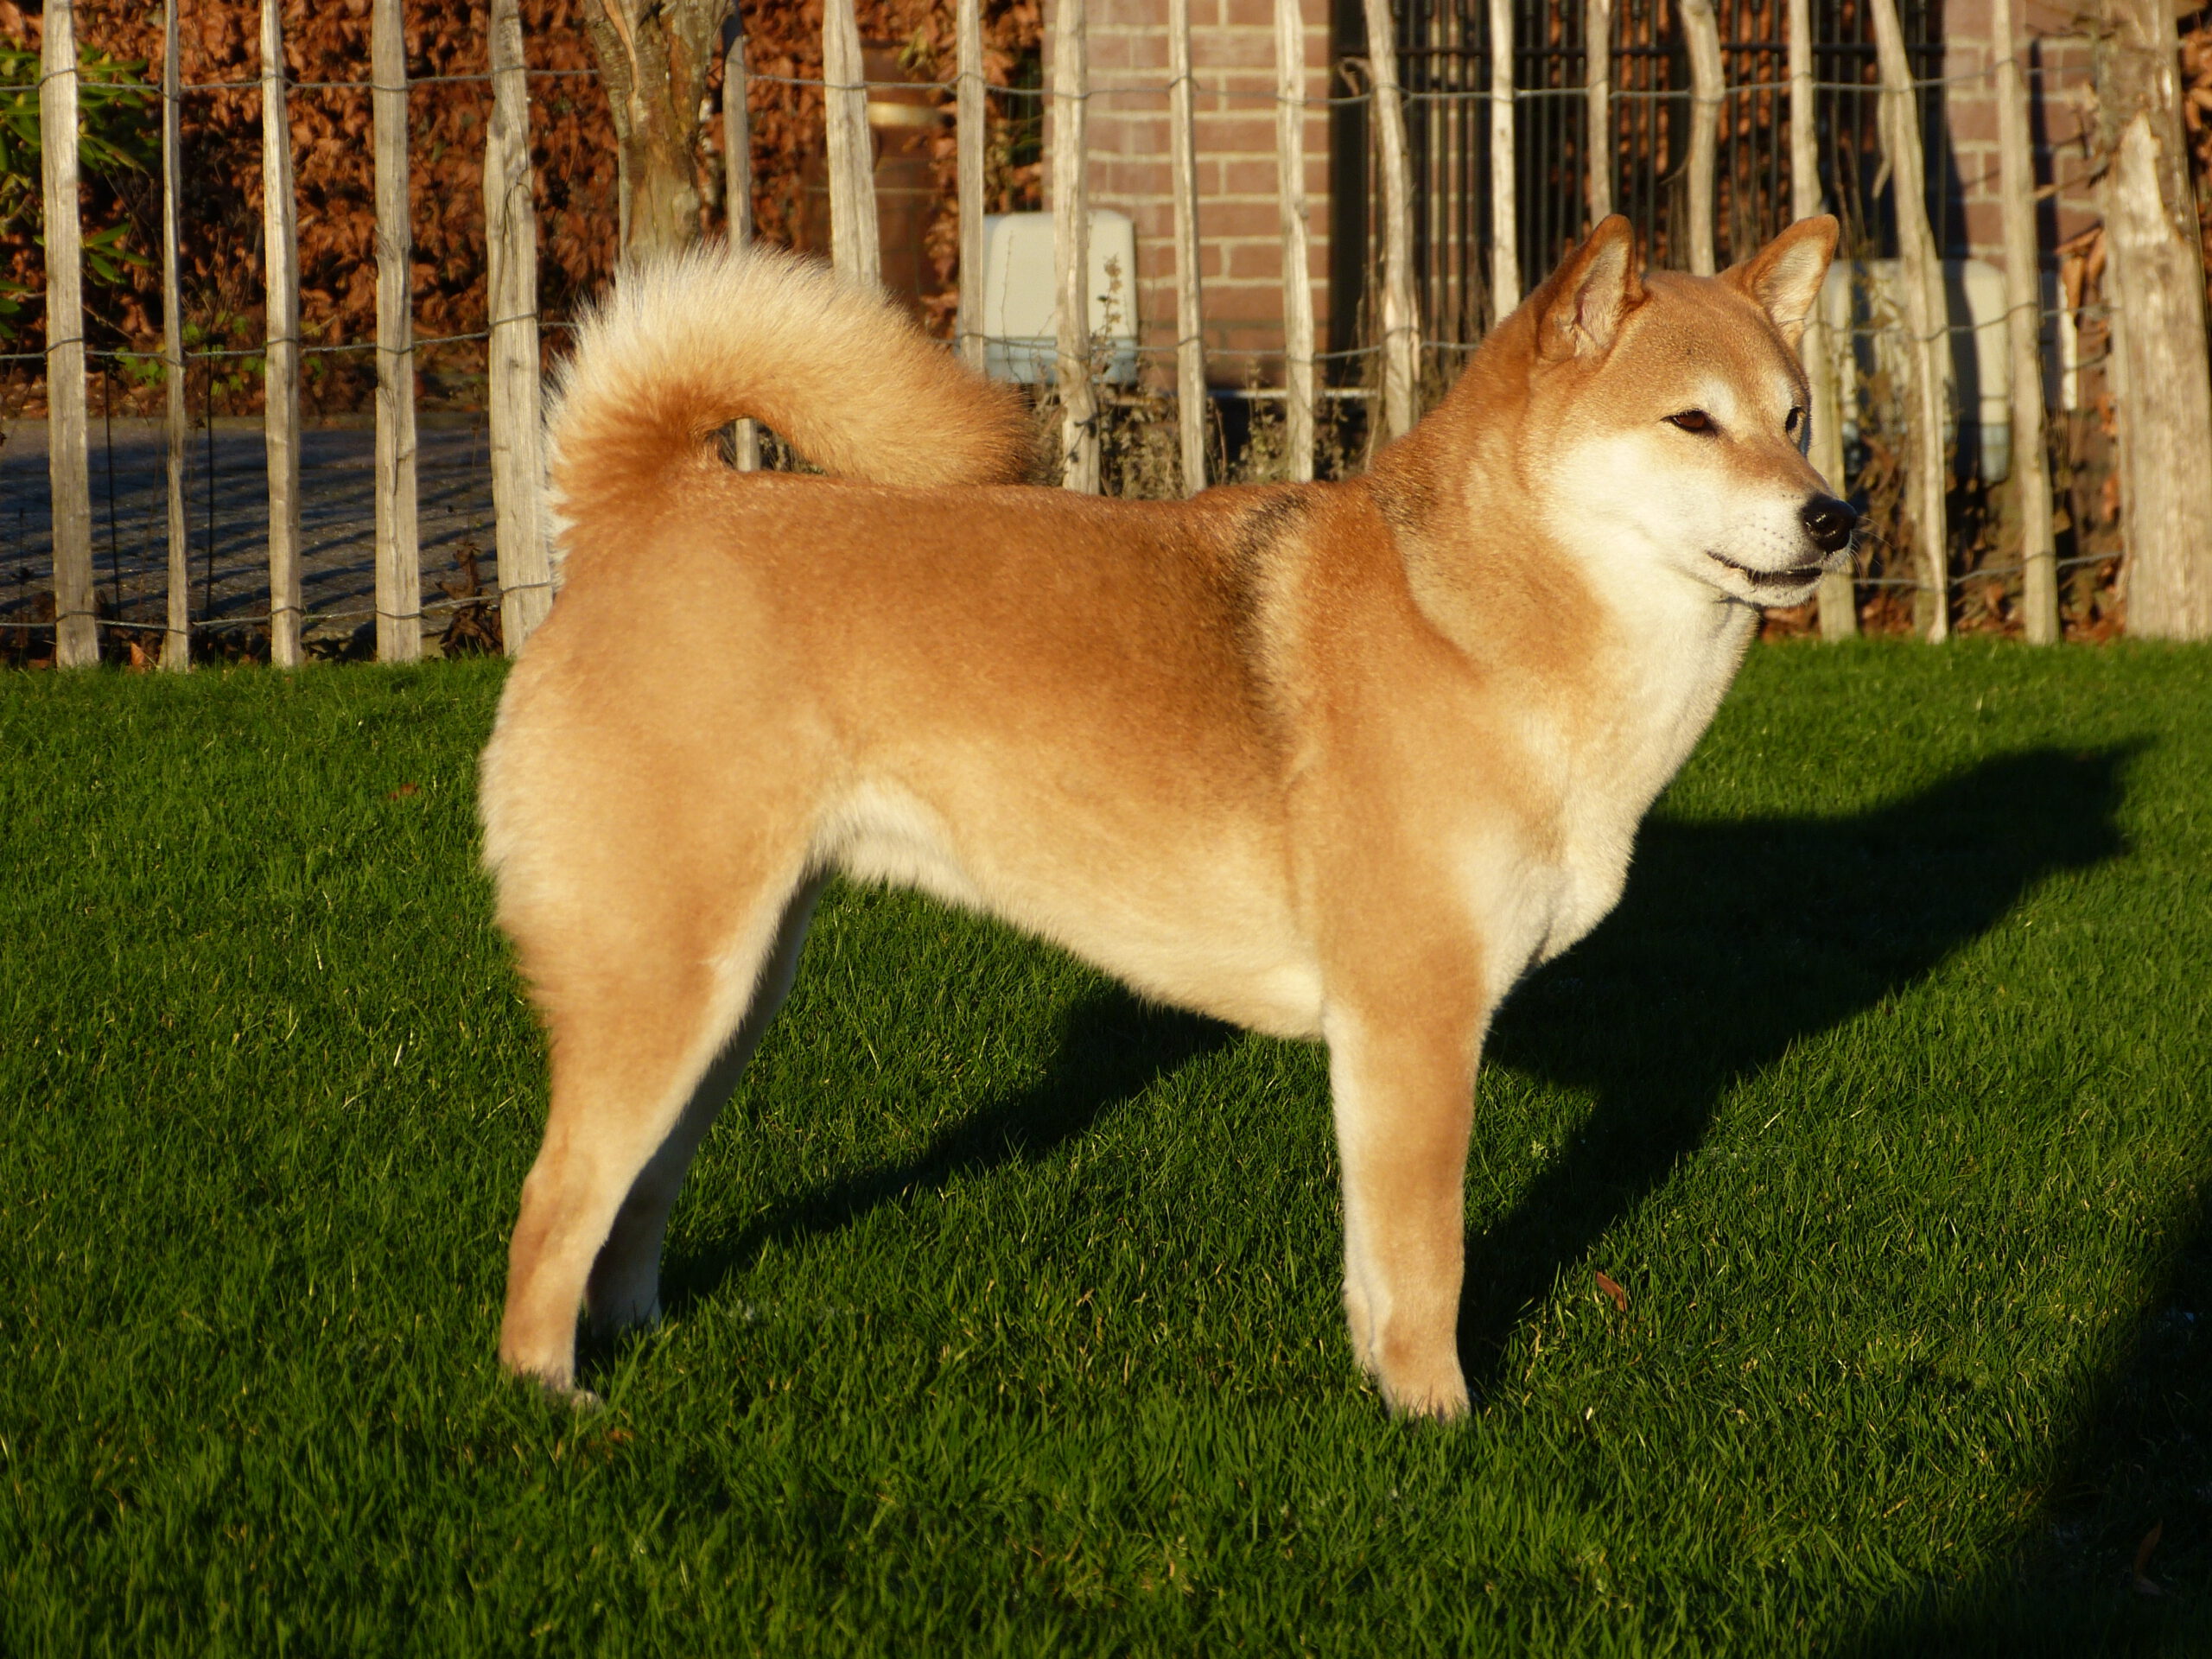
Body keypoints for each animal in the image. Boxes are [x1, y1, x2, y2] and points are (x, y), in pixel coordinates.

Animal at [480, 213, 1852, 1419]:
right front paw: (1441, 1423)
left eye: (1794, 419)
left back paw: (650, 1343)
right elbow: (1430, 1267)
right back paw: (556, 1404)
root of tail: (644, 512)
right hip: (665, 989)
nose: (1833, 516)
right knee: (551, 1205)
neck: (1467, 620)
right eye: (1692, 421)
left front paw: (1384, 1400)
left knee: (632, 1206)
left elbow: (1375, 1270)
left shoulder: (1381, 1052)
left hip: (731, 996)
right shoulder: (1415, 1023)